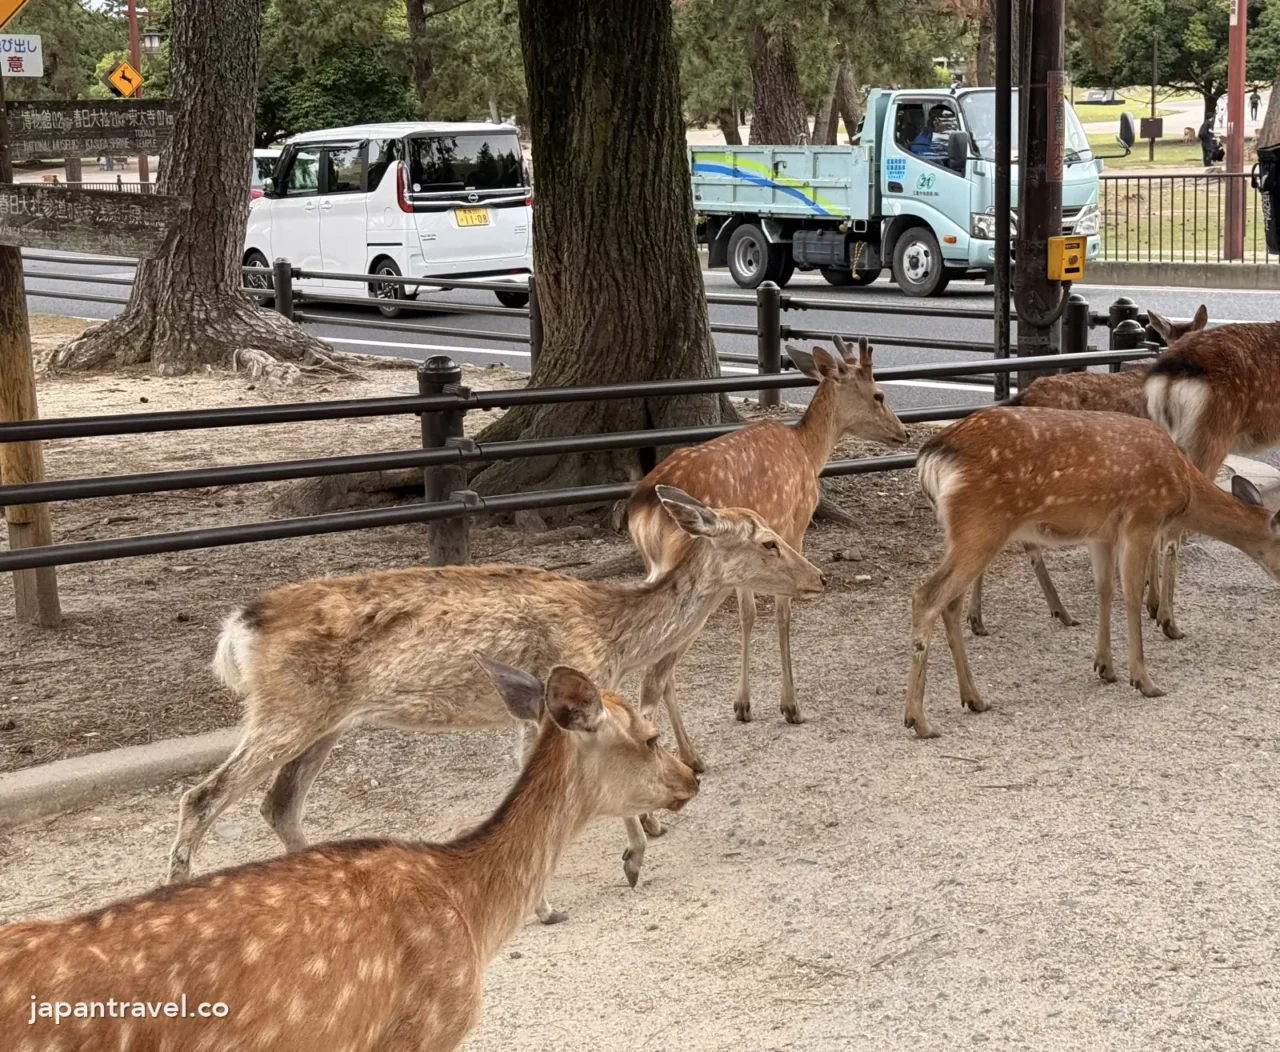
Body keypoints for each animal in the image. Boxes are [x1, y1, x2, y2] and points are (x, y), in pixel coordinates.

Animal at [169, 486, 821, 916]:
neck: (612, 632)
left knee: (278, 804)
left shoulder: (534, 710)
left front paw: (634, 850)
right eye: (769, 541)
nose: (816, 577)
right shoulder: (566, 694)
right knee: (202, 797)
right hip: (287, 709)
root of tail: (237, 631)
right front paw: (583, 886)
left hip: (323, 721)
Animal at [627, 335, 908, 771]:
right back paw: (686, 756)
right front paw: (790, 706)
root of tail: (643, 507)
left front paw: (742, 705)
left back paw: (687, 753)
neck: (810, 453)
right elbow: (781, 613)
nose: (904, 433)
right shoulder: (795, 525)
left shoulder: (745, 558)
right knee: (660, 666)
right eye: (879, 394)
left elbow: (748, 615)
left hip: (655, 567)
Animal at [905, 406, 1280, 739]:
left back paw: (974, 698)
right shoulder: (1142, 517)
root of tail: (931, 456)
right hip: (982, 522)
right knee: (926, 597)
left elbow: (1105, 590)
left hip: (963, 531)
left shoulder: (1102, 533)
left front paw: (1105, 667)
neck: (1183, 487)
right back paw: (919, 720)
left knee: (949, 603)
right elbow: (1132, 594)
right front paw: (1143, 679)